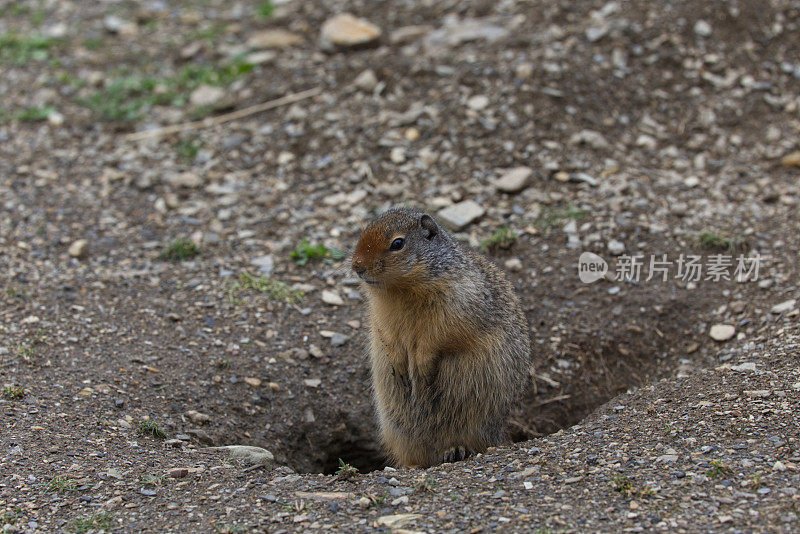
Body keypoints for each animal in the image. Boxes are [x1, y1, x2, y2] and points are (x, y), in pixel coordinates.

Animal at [352, 207, 532, 466]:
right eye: (364, 231)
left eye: (397, 243)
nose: (356, 266)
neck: (401, 290)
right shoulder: (380, 313)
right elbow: (387, 335)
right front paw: (400, 366)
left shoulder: (455, 306)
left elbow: (436, 339)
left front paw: (420, 368)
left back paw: (456, 450)